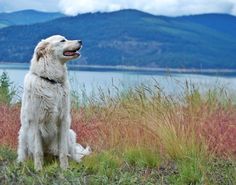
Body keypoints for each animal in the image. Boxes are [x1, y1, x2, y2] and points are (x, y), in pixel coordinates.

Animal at [17, 34, 91, 171]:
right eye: (62, 40)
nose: (81, 41)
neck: (51, 81)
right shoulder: (35, 122)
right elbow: (38, 152)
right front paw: (38, 170)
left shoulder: (63, 120)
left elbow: (63, 152)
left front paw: (65, 169)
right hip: (23, 133)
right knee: (23, 153)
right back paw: (21, 163)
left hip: (70, 134)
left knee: (72, 153)